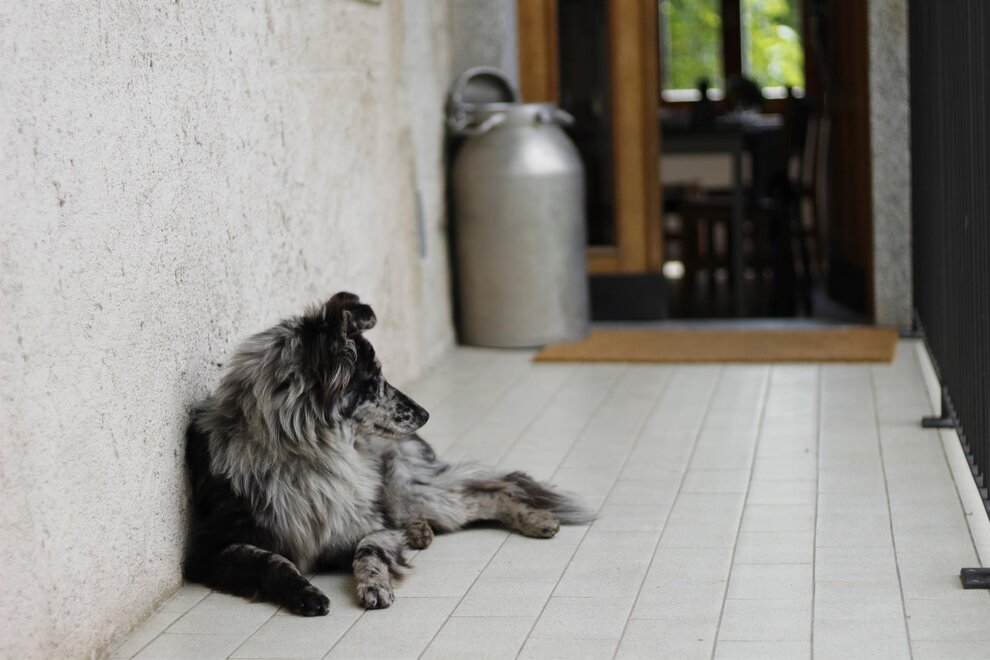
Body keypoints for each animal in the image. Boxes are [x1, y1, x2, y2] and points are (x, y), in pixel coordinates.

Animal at [183, 292, 592, 615]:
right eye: (373, 381)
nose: (426, 414)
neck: (304, 455)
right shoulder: (209, 549)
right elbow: (272, 561)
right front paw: (304, 593)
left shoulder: (367, 526)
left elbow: (369, 549)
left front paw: (375, 584)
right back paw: (419, 531)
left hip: (403, 488)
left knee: (486, 496)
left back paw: (534, 519)